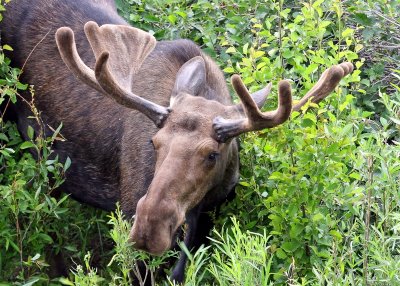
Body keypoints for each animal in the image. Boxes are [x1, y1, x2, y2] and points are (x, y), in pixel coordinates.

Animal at [2, 0, 354, 282]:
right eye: (154, 142)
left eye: (212, 154)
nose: (149, 228)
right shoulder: (128, 211)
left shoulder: (208, 214)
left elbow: (181, 272)